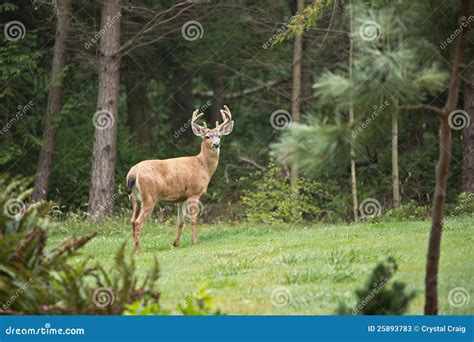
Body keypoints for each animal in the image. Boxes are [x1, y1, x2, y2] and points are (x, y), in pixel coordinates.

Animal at [125, 105, 234, 252]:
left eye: (219, 135)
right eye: (207, 136)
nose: (216, 144)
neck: (203, 165)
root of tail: (133, 173)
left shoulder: (180, 198)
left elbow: (180, 221)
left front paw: (175, 243)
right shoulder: (194, 192)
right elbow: (193, 219)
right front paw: (194, 241)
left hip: (134, 198)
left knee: (132, 220)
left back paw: (133, 248)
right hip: (149, 196)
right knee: (138, 221)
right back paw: (138, 250)